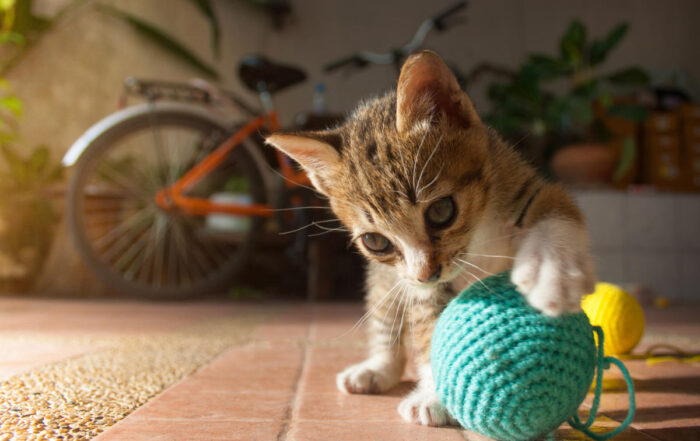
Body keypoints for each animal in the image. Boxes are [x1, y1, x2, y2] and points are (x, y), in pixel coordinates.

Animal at [266, 50, 592, 426]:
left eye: (441, 210)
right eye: (376, 241)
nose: (426, 274)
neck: (477, 237)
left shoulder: (524, 185)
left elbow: (554, 211)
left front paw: (551, 275)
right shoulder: (418, 284)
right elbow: (429, 325)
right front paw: (437, 395)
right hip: (388, 280)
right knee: (385, 315)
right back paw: (376, 369)